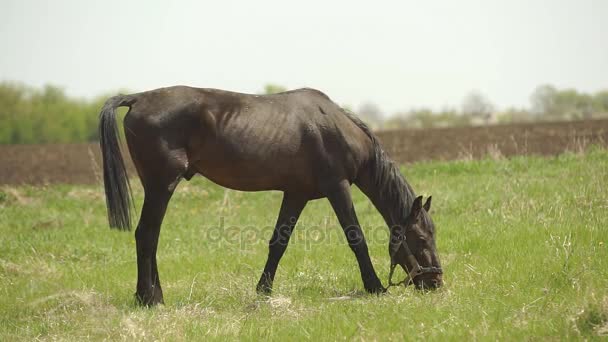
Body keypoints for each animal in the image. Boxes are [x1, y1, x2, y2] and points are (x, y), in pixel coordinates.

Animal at [98, 85, 442, 304]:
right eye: (420, 239)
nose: (436, 282)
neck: (336, 127)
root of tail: (137, 98)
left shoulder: (296, 194)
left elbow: (279, 243)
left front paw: (263, 290)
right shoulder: (338, 187)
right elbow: (356, 238)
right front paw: (375, 287)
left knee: (151, 237)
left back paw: (155, 295)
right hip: (161, 186)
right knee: (146, 235)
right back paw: (148, 298)